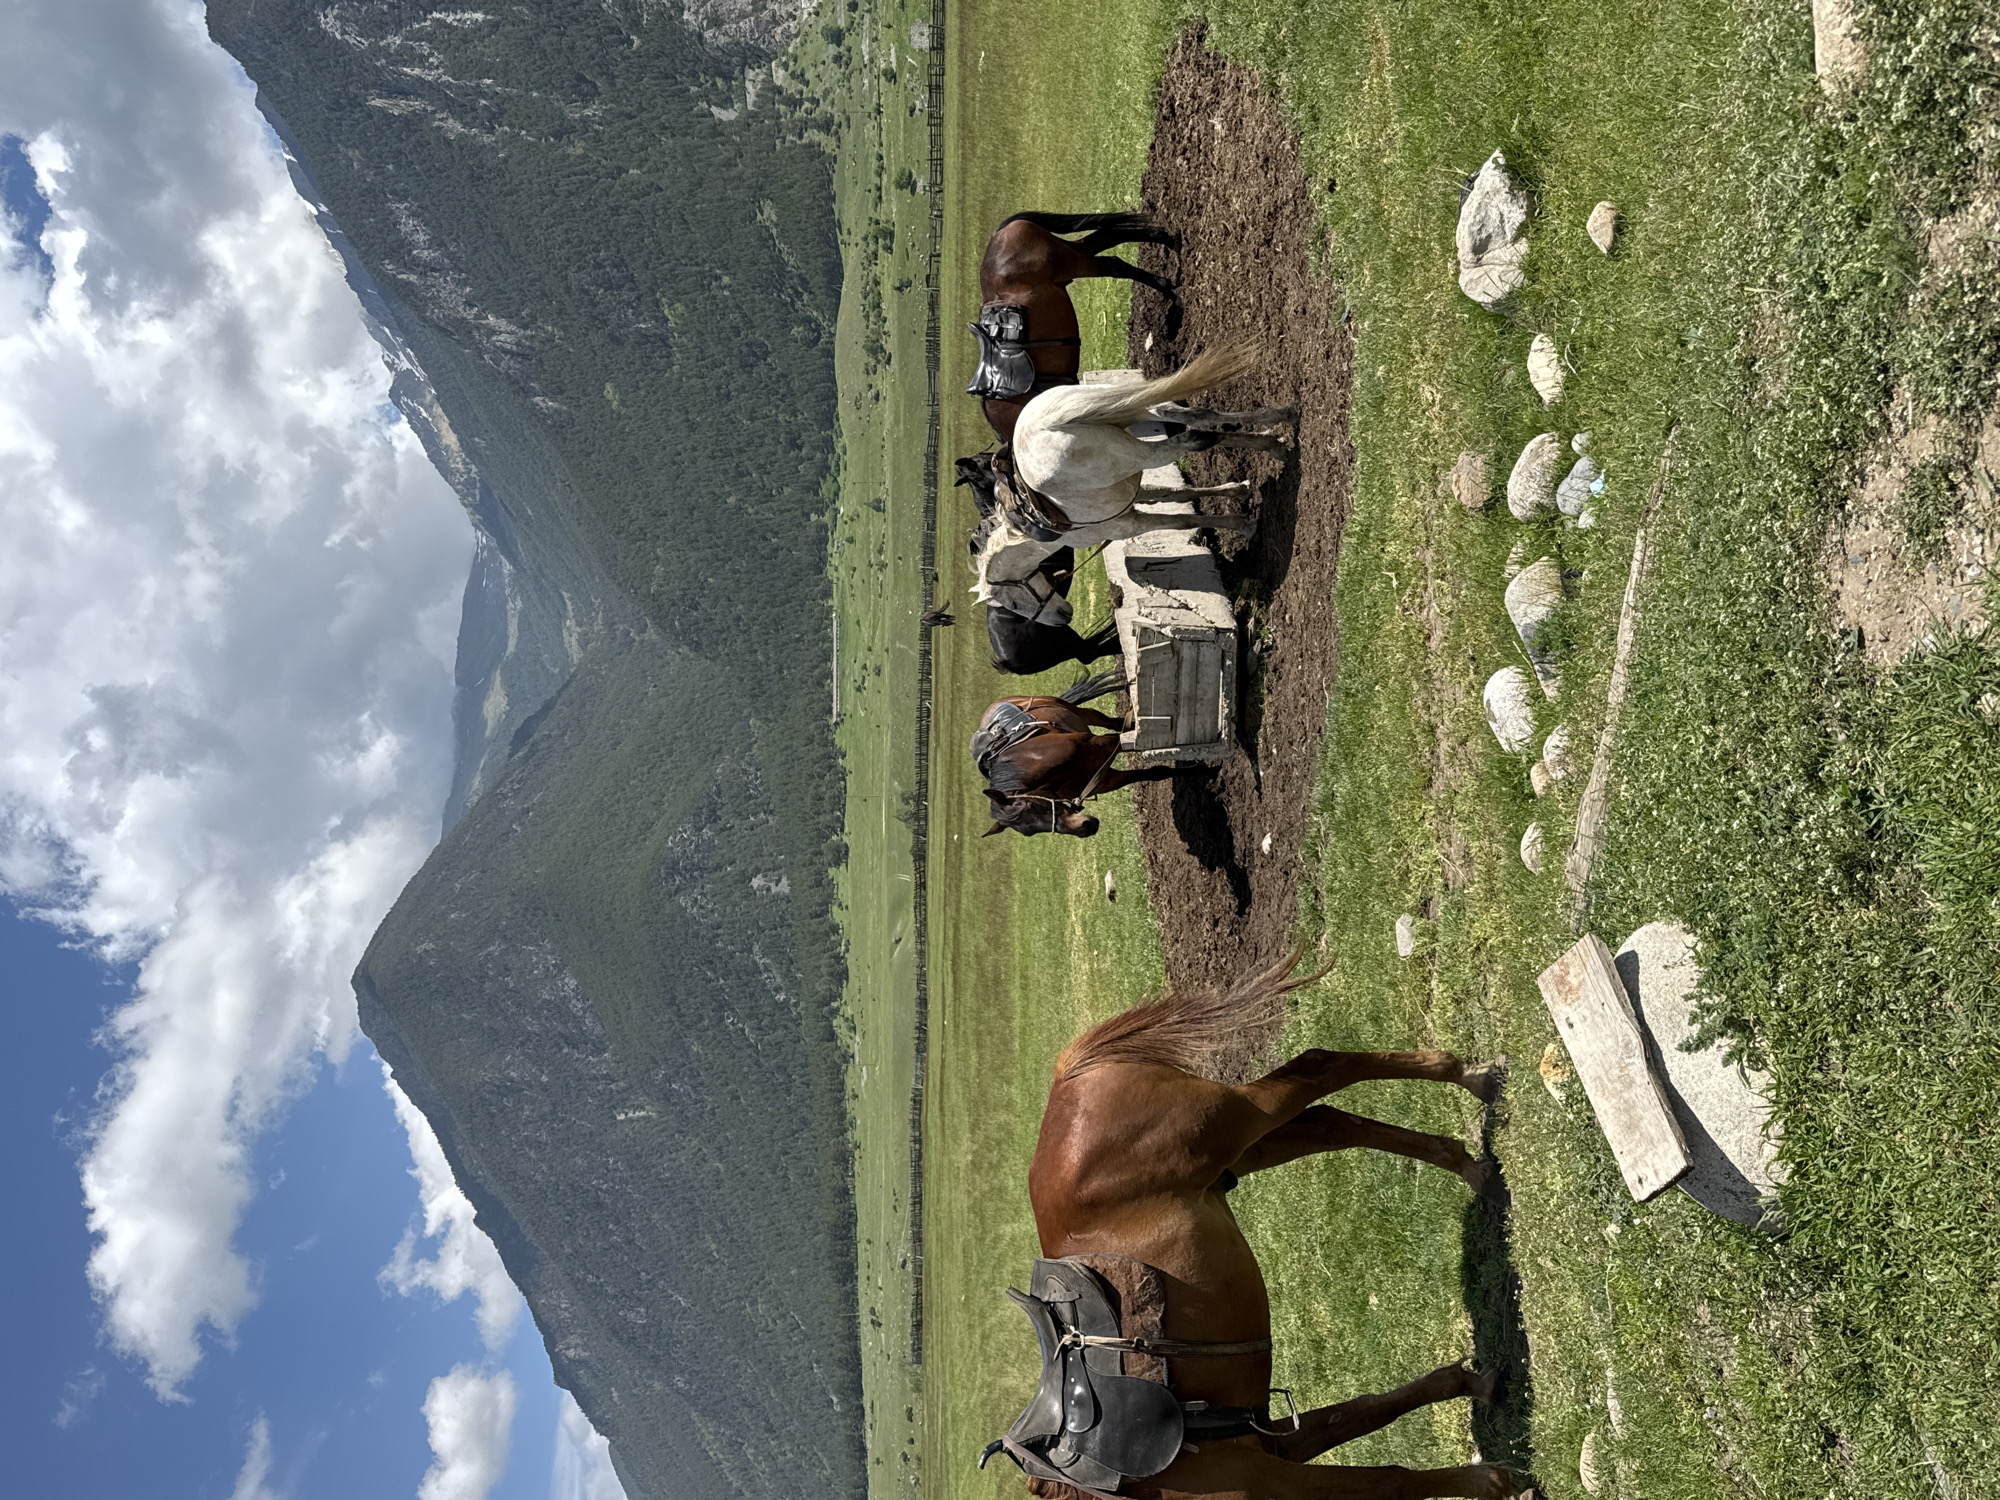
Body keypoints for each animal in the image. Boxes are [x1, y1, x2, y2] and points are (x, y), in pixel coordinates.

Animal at [971, 211, 1180, 444]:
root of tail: (999, 235)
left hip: (1072, 262)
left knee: (1113, 262)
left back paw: (1171, 286)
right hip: (1071, 256)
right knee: (1106, 238)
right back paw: (1167, 242)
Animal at [972, 673, 1177, 839]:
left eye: (1032, 805)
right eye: (1028, 832)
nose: (1086, 828)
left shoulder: (1103, 744)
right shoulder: (1104, 779)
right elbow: (1156, 773)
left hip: (1079, 711)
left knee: (1111, 722)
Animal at [981, 949, 1528, 1500]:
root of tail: (1068, 1081)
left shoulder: (1272, 1476)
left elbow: (1388, 1478)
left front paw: (1491, 1479)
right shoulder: (1270, 1443)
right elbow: (1365, 1412)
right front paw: (1470, 1387)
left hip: (1236, 1118)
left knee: (1319, 1066)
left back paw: (1469, 1080)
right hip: (1243, 1150)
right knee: (1329, 1122)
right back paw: (1470, 1161)